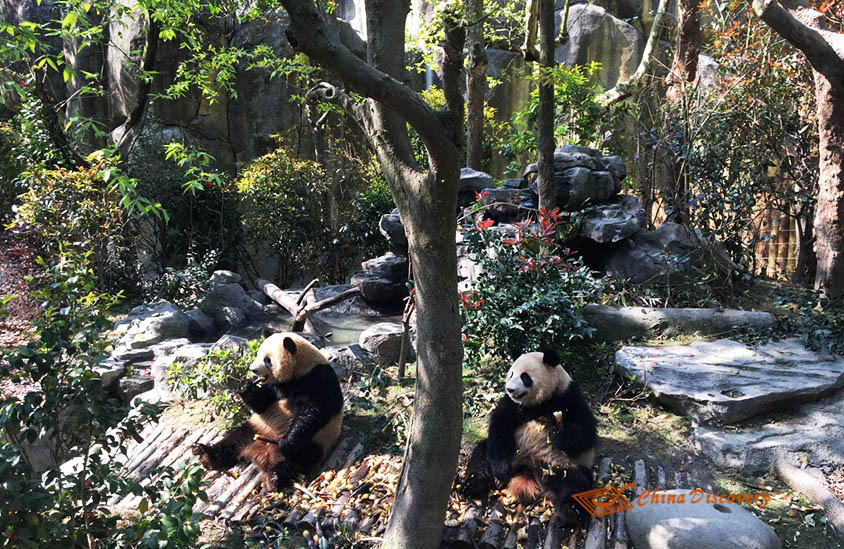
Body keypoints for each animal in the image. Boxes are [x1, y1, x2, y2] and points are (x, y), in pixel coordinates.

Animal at [192, 332, 342, 490]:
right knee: (232, 441)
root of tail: (262, 452)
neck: (299, 368)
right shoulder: (273, 385)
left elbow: (314, 411)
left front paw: (287, 441)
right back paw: (205, 454)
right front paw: (244, 387)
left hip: (313, 443)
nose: (252, 370)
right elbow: (262, 404)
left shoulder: (317, 378)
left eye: (267, 360)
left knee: (295, 461)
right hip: (256, 428)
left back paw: (275, 478)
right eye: (257, 354)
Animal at [462, 348, 600, 520]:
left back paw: (568, 516)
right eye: (511, 374)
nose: (510, 389)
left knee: (576, 487)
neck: (539, 402)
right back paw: (471, 486)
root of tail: (529, 468)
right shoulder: (512, 404)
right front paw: (501, 470)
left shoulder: (568, 396)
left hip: (562, 465)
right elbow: (500, 425)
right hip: (513, 453)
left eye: (525, 377)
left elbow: (585, 431)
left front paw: (558, 435)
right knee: (481, 456)